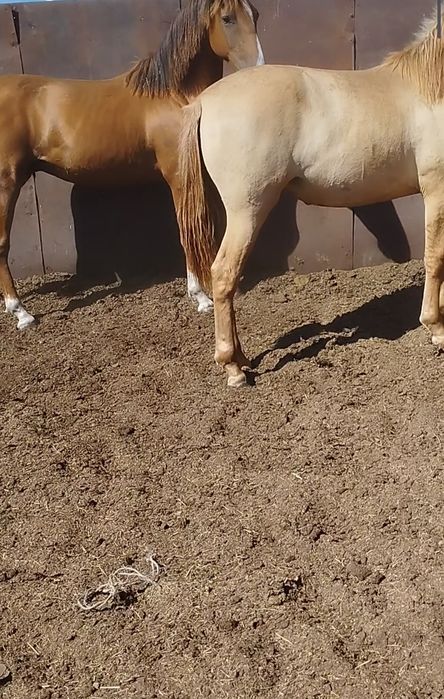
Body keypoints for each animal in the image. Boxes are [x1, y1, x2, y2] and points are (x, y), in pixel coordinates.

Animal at [0, 0, 263, 330]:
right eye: (228, 18)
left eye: (256, 14)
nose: (260, 67)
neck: (175, 95)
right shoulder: (178, 175)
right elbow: (186, 229)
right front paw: (200, 297)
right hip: (7, 183)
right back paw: (21, 312)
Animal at [177, 13, 444, 387]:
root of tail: (203, 101)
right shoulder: (436, 189)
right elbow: (435, 258)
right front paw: (436, 328)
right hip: (247, 211)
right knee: (224, 274)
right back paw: (233, 368)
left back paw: (242, 358)